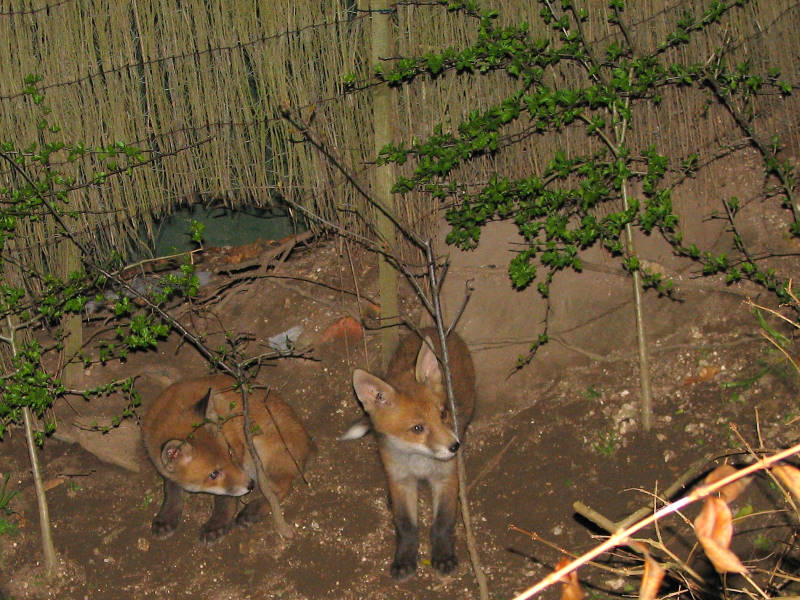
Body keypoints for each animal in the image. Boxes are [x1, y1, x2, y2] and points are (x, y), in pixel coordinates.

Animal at [142, 374, 313, 543]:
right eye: (213, 474)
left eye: (230, 453)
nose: (251, 485)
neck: (175, 407)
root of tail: (307, 443)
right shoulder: (163, 468)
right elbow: (171, 490)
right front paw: (166, 517)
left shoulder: (240, 449)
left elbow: (225, 498)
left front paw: (217, 524)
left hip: (260, 456)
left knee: (281, 488)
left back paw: (253, 510)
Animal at [342, 327, 476, 580]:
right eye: (417, 429)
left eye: (443, 414)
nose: (455, 446)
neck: (420, 462)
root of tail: (433, 328)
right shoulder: (401, 480)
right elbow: (405, 525)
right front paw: (404, 559)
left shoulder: (446, 476)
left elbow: (442, 522)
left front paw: (443, 556)